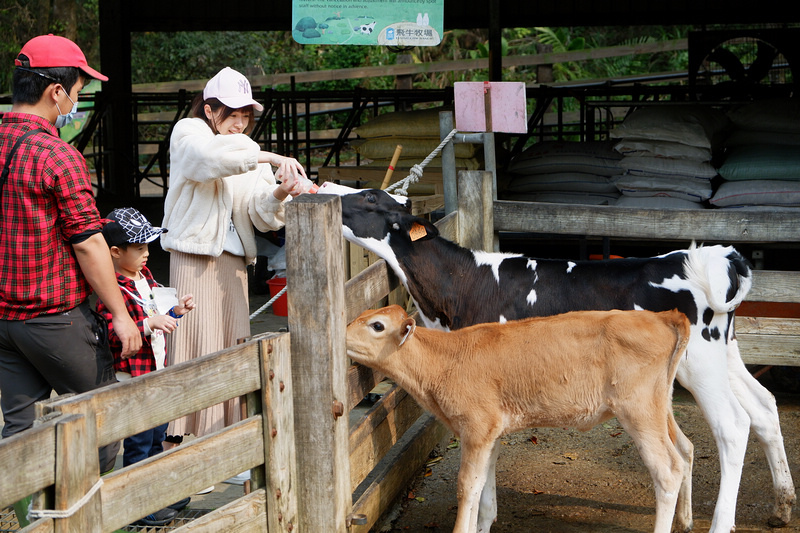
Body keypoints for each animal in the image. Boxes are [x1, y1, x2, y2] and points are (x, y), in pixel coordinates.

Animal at [336, 188, 792, 532]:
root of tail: (713, 255)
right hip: (721, 356)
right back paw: (780, 506)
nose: (325, 188)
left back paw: (721, 522)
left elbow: (482, 471)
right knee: (764, 407)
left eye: (370, 198)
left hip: (700, 364)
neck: (461, 284)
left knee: (733, 426)